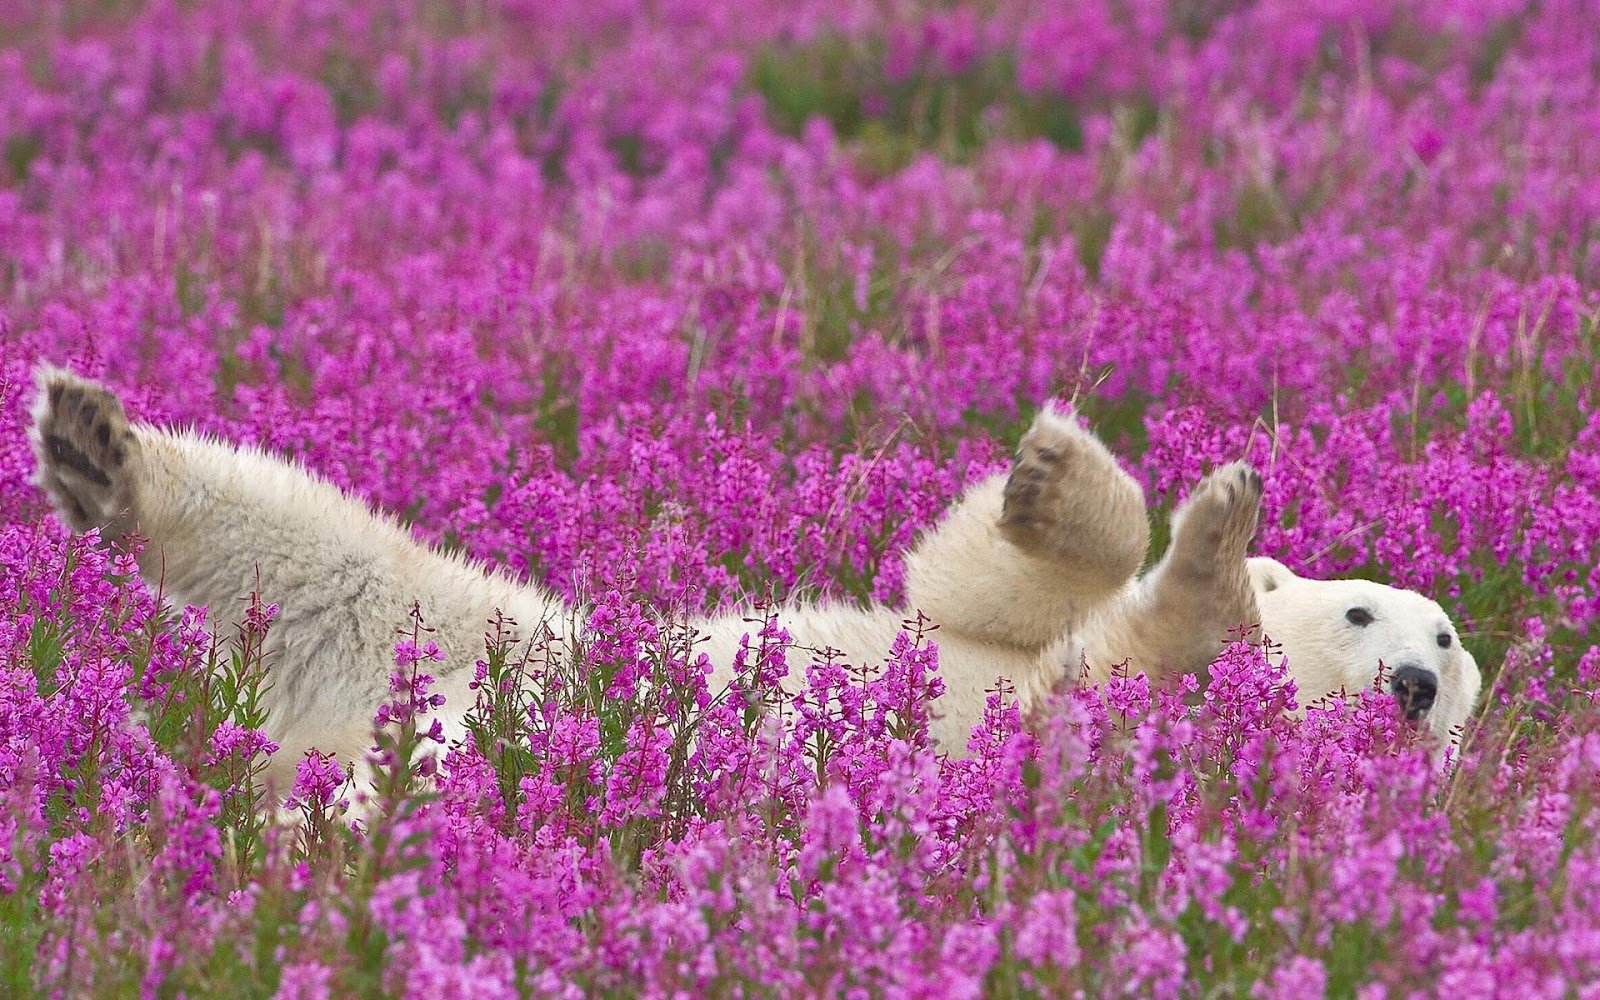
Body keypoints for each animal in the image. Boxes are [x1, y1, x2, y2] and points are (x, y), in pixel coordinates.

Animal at [27, 366, 1480, 796]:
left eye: (1451, 646)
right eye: (1373, 608)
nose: (1414, 682)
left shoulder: (1095, 733)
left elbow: (1137, 661)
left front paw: (1214, 550)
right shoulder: (1000, 636)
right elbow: (967, 585)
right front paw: (1077, 478)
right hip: (480, 633)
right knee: (315, 545)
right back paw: (95, 446)